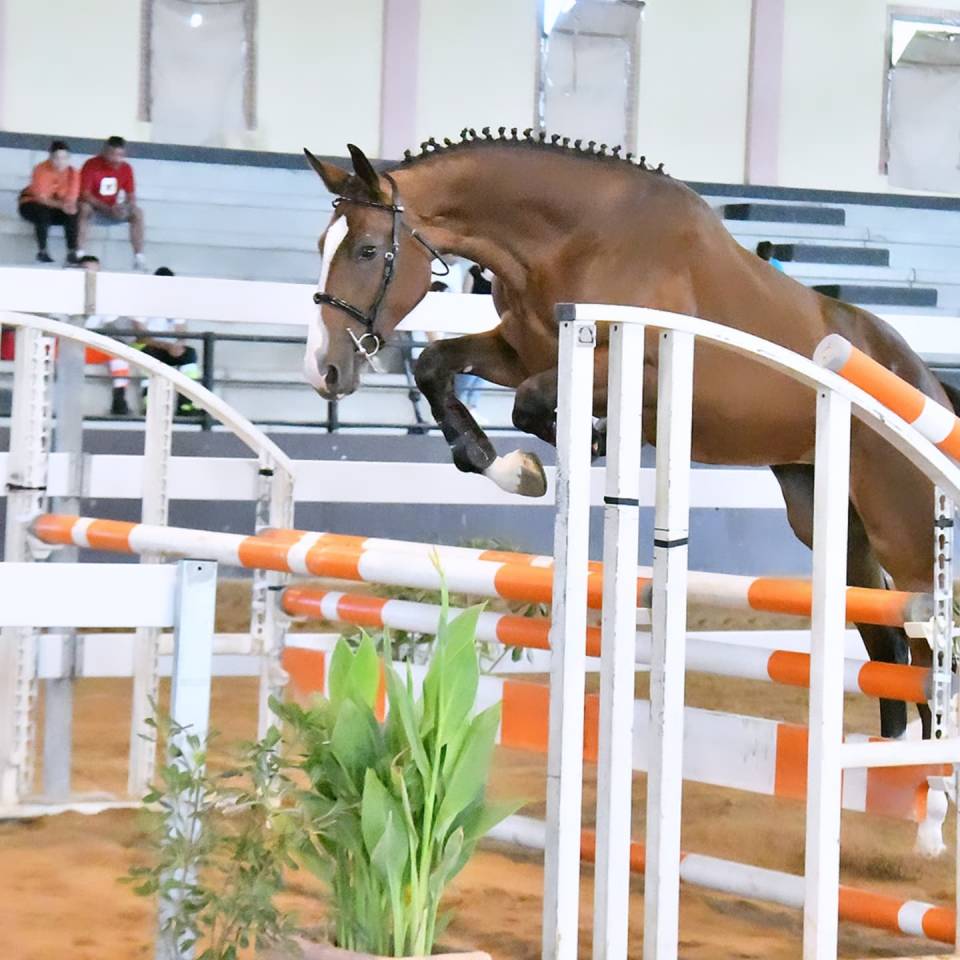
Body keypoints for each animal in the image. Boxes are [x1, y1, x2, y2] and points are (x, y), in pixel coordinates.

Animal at [301, 129, 954, 741]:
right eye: (321, 246)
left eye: (367, 250)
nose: (322, 369)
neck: (570, 241)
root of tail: (929, 386)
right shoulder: (519, 350)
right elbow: (437, 366)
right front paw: (505, 465)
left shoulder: (641, 367)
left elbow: (530, 401)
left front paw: (579, 444)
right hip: (829, 519)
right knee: (891, 644)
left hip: (904, 527)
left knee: (922, 637)